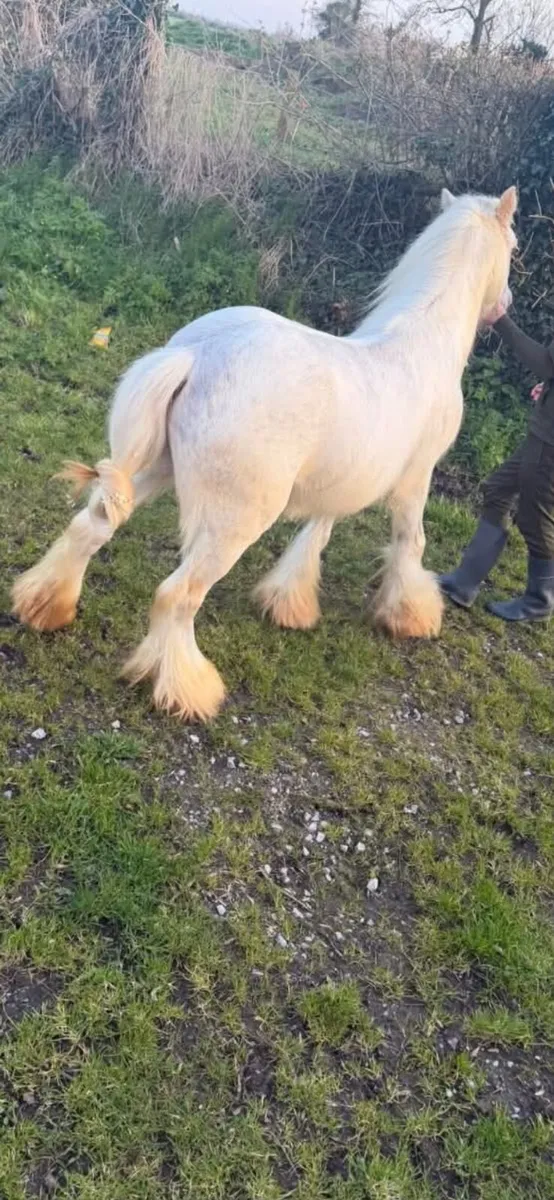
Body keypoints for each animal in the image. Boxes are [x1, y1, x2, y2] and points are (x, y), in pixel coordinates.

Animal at [12, 186, 517, 721]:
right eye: (515, 246)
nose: (503, 305)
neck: (421, 341)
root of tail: (196, 356)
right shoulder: (415, 481)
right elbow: (410, 543)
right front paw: (412, 616)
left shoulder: (339, 482)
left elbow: (316, 535)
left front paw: (288, 605)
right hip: (234, 523)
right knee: (177, 595)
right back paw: (188, 691)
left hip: (155, 470)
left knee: (89, 529)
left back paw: (44, 607)